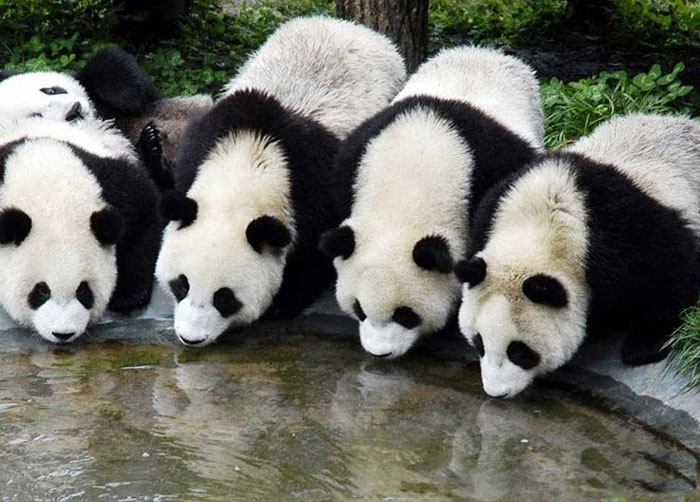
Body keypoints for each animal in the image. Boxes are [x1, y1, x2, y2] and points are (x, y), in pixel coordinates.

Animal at [0, 116, 161, 343]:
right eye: (41, 291)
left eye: (83, 290)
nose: (63, 333)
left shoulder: (111, 186)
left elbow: (145, 212)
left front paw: (127, 295)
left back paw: (151, 144)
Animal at [155, 16, 407, 346]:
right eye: (181, 284)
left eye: (224, 297)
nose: (191, 338)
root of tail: (349, 26)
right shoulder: (203, 144)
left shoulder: (313, 183)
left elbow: (315, 252)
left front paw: (283, 301)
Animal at [456, 113, 700, 398]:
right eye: (479, 343)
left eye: (519, 351)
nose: (497, 392)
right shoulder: (494, 208)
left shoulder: (625, 234)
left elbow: (669, 271)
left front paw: (645, 344)